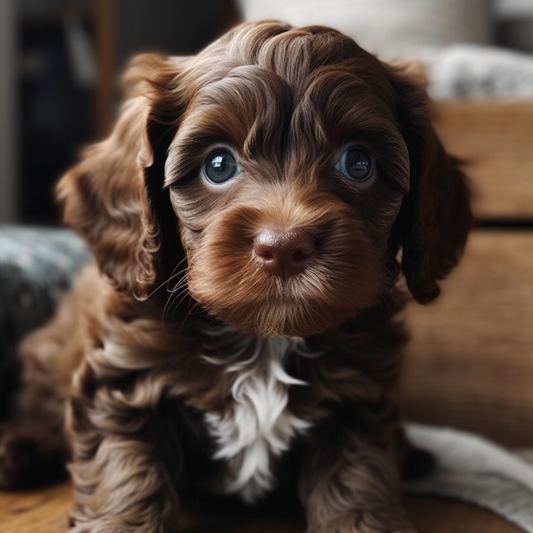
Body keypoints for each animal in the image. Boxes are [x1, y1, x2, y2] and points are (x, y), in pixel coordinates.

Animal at [0, 21, 468, 532]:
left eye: (358, 163)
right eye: (218, 165)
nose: (284, 246)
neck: (263, 340)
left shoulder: (358, 395)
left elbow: (359, 479)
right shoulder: (124, 381)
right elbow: (125, 473)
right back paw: (17, 449)